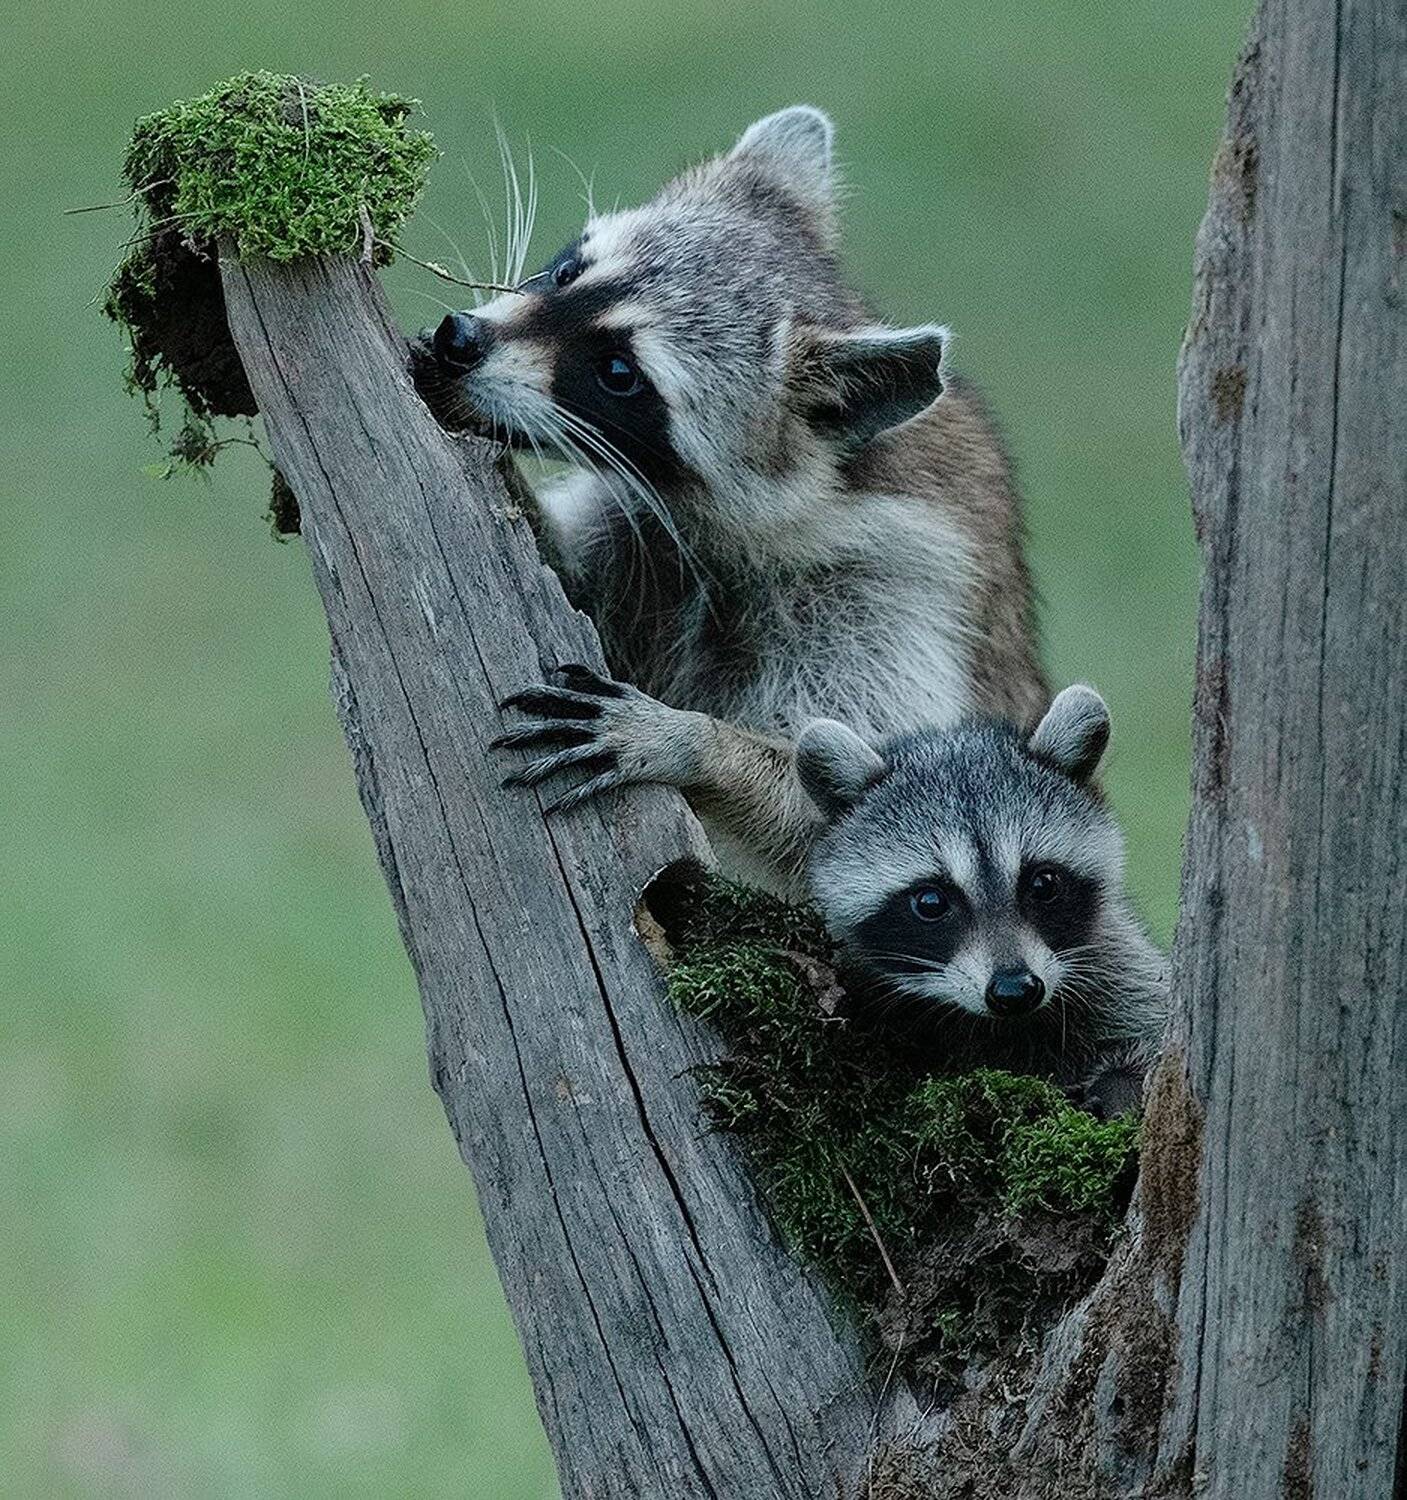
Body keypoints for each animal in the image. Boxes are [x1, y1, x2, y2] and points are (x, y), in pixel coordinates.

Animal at [418, 106, 1047, 896]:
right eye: (568, 271)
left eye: (618, 373)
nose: (458, 339)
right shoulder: (640, 530)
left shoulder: (890, 598)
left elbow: (873, 801)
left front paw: (691, 741)